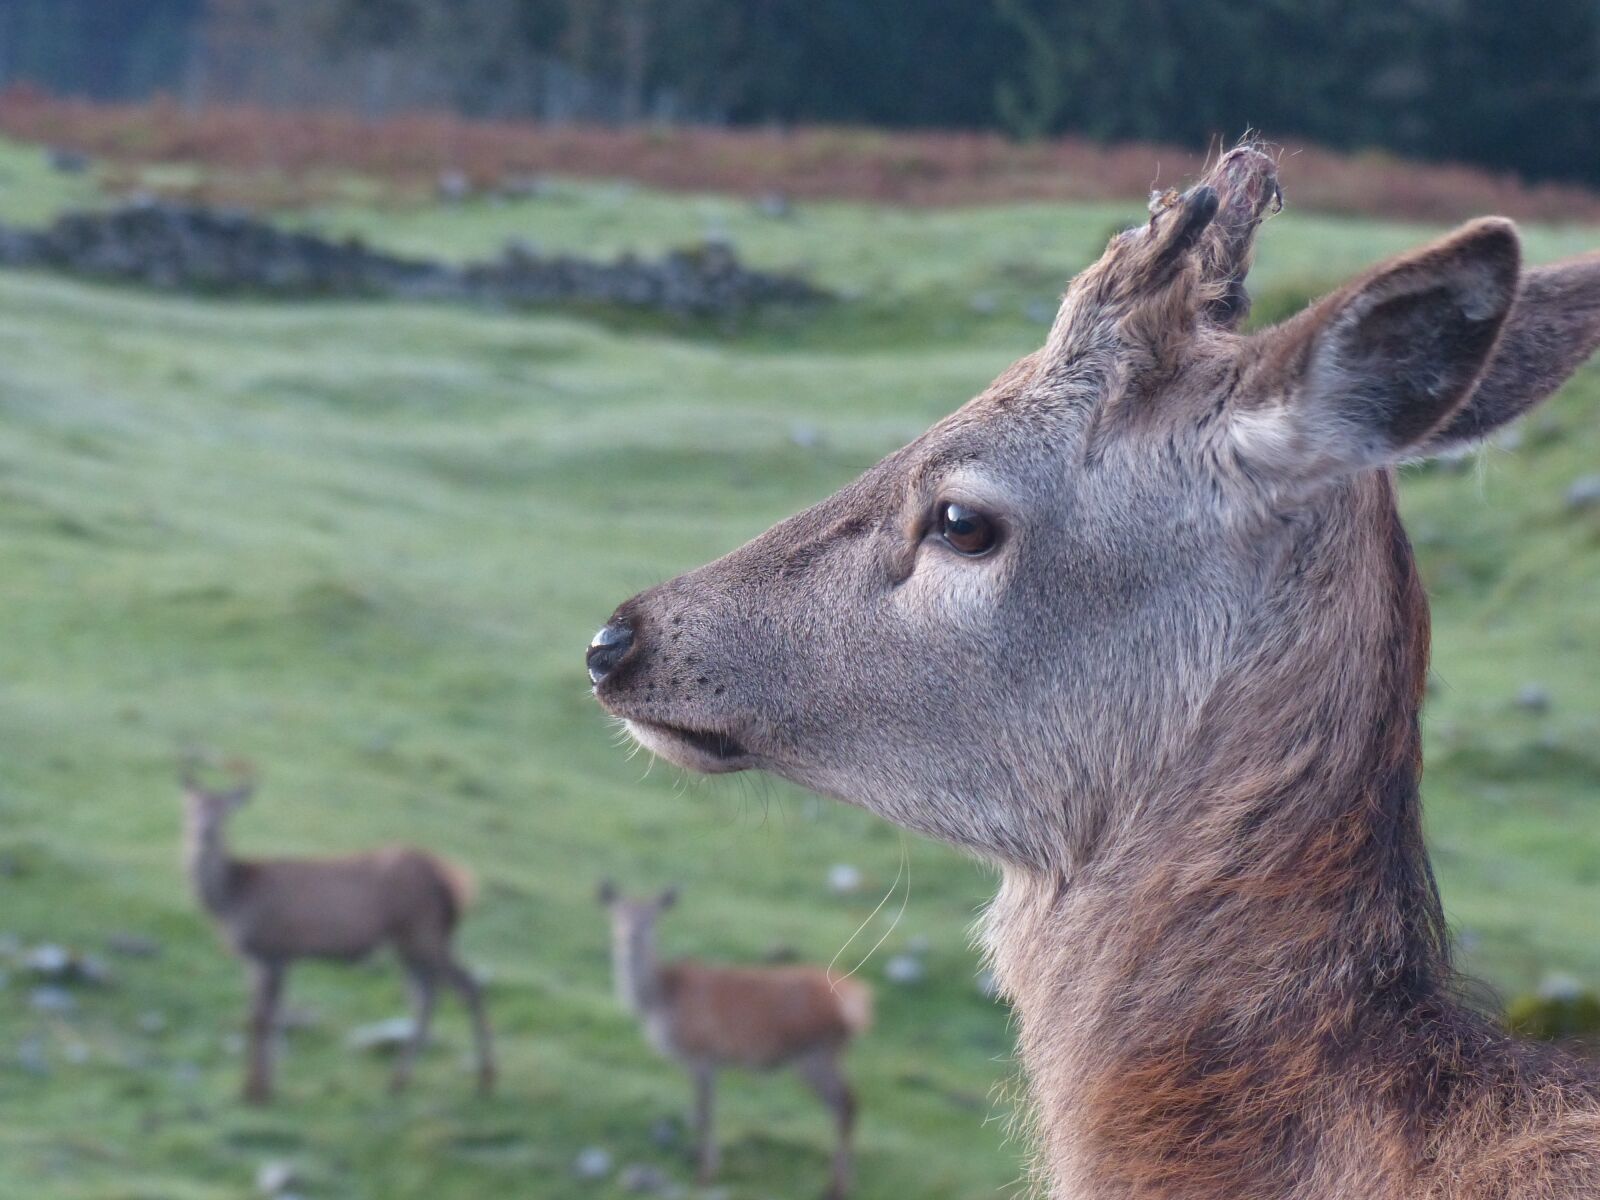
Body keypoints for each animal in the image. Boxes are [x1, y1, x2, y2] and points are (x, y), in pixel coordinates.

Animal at [181, 762, 496, 1103]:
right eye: (191, 809)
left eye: (224, 811)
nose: (204, 833)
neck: (234, 899)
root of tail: (451, 883)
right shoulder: (274, 958)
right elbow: (272, 1017)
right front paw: (266, 1086)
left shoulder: (269, 949)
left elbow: (260, 1020)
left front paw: (254, 1091)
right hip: (411, 941)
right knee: (426, 997)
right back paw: (399, 1081)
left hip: (422, 932)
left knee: (467, 986)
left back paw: (486, 1078)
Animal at [597, 882, 871, 1198]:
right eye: (617, 914)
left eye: (651, 918)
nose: (630, 937)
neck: (661, 1001)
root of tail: (859, 1002)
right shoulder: (710, 1061)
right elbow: (709, 1111)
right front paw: (711, 1166)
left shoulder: (701, 1052)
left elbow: (703, 1114)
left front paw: (704, 1175)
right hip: (824, 1054)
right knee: (847, 1104)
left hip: (815, 1053)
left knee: (846, 1104)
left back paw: (836, 1187)